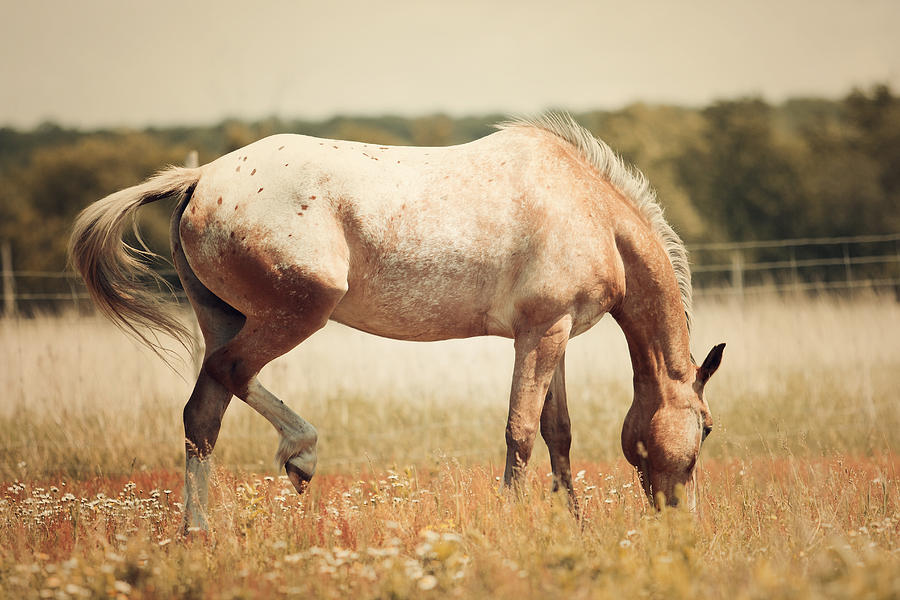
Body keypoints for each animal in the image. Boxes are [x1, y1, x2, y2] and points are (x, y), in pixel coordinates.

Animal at [68, 111, 724, 528]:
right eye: (708, 428)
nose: (683, 526)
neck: (591, 211)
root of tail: (201, 178)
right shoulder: (540, 335)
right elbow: (520, 433)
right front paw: (517, 524)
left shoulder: (552, 335)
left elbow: (557, 433)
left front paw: (575, 528)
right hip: (299, 311)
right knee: (228, 377)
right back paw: (292, 460)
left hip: (226, 316)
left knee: (205, 410)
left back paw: (204, 529)